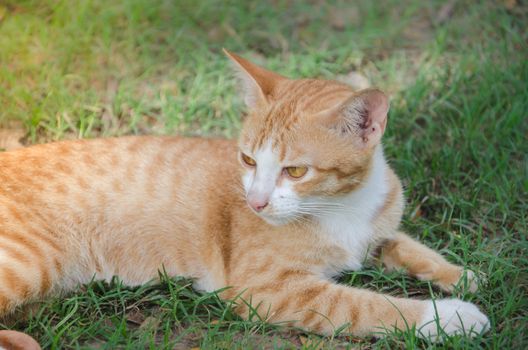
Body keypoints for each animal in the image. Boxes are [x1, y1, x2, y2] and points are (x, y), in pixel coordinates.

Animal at [0, 50, 488, 340]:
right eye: (248, 160)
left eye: (295, 170)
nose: (255, 203)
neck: (342, 206)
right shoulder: (270, 290)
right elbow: (368, 306)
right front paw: (451, 316)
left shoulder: (377, 231)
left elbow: (410, 246)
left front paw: (462, 274)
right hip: (28, 262)